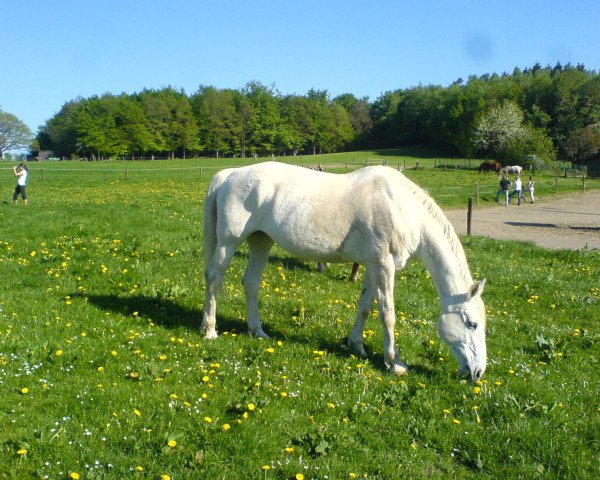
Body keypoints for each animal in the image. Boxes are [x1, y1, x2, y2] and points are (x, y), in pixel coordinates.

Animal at [202, 161, 488, 382]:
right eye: (471, 323)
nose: (478, 373)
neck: (402, 208)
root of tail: (230, 174)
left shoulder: (374, 266)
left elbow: (365, 306)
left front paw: (357, 346)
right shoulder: (384, 265)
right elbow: (388, 314)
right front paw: (394, 363)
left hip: (261, 241)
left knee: (251, 283)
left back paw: (257, 331)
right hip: (228, 242)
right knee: (214, 279)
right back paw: (210, 330)